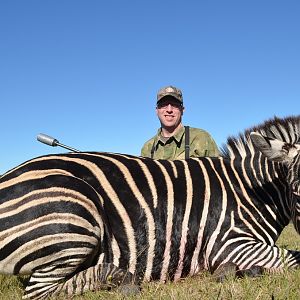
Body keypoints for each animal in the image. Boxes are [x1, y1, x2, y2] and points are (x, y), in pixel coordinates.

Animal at [0, 114, 298, 298]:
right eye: (295, 188)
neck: (249, 190)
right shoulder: (230, 244)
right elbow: (293, 258)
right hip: (76, 219)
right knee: (38, 291)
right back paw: (122, 280)